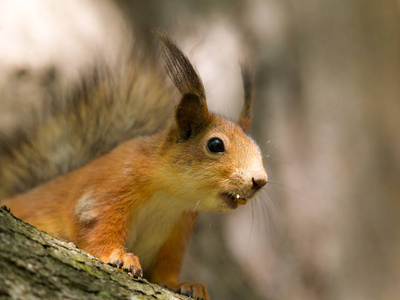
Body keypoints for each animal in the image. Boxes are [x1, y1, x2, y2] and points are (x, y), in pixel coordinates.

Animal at [1, 33, 268, 300]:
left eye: (258, 148)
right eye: (215, 144)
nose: (260, 181)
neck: (171, 197)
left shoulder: (177, 231)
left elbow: (165, 269)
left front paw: (186, 284)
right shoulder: (111, 188)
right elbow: (97, 228)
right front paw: (118, 256)